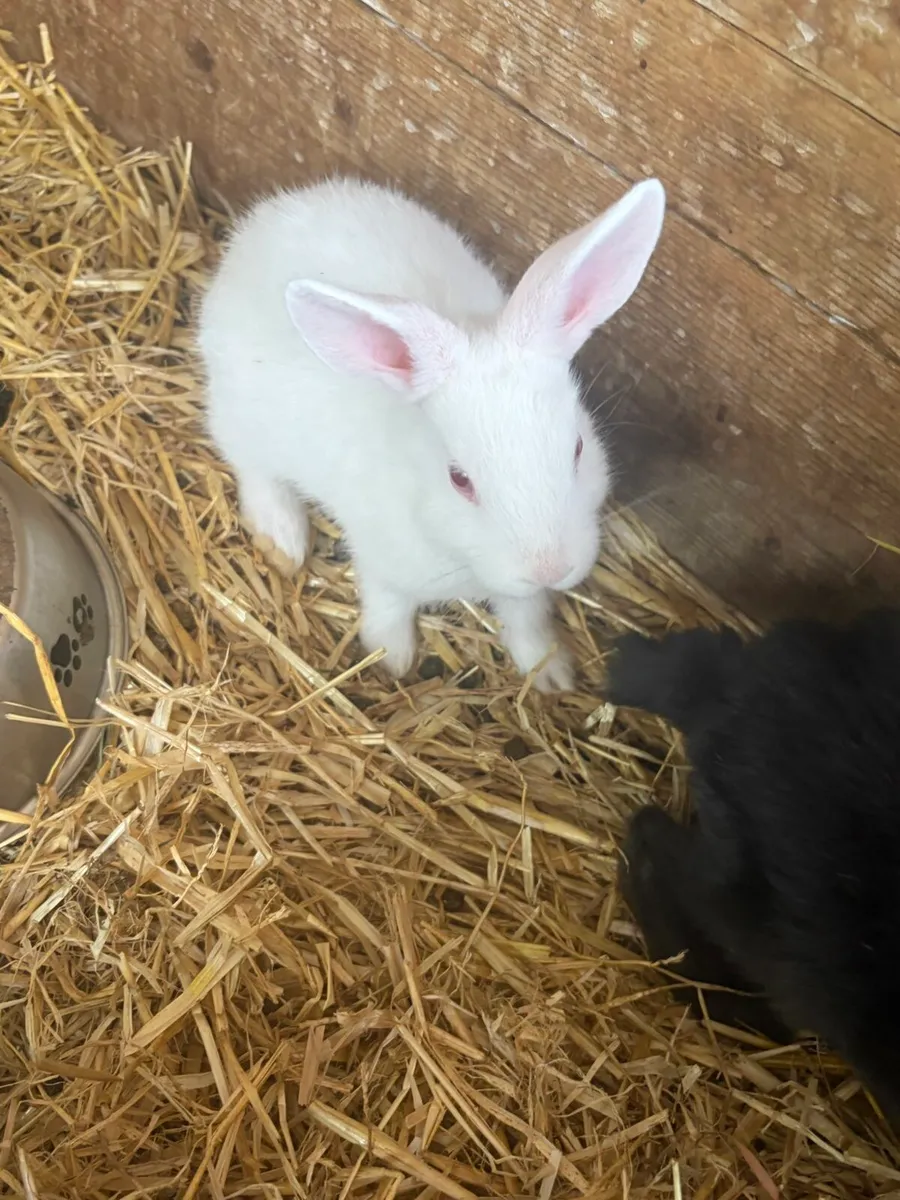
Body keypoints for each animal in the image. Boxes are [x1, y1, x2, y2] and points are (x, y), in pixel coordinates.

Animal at [198, 176, 665, 690]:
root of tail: (268, 218)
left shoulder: (522, 596)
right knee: (254, 470)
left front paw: (552, 675)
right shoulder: (381, 559)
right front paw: (391, 659)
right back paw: (283, 539)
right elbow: (388, 604)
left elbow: (527, 621)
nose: (549, 568)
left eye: (578, 448)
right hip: (240, 416)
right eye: (458, 479)